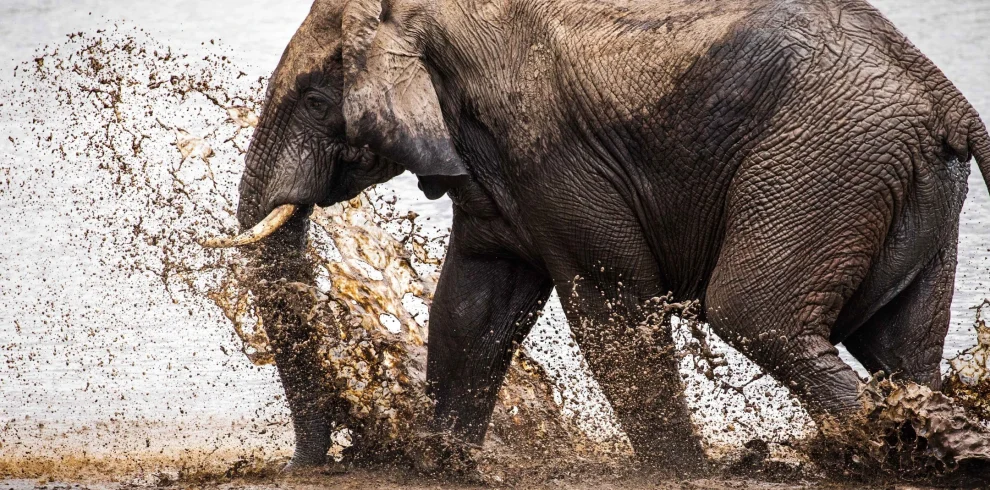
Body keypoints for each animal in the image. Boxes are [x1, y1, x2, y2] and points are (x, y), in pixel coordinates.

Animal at [204, 0, 990, 472]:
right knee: (900, 346)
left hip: (823, 163)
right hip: (896, 181)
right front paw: (441, 464)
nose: (310, 464)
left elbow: (610, 305)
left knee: (755, 315)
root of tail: (947, 98)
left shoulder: (555, 153)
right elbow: (473, 305)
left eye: (315, 99)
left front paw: (682, 473)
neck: (423, 13)